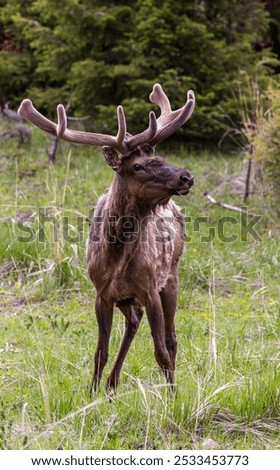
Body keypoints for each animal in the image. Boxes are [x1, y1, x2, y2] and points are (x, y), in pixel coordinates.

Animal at [18, 84, 195, 392]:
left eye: (160, 158)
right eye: (137, 166)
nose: (186, 177)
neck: (117, 259)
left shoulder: (150, 288)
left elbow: (160, 351)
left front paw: (172, 398)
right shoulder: (101, 293)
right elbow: (100, 351)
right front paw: (93, 393)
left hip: (171, 276)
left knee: (171, 339)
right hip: (127, 298)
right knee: (134, 322)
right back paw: (112, 384)